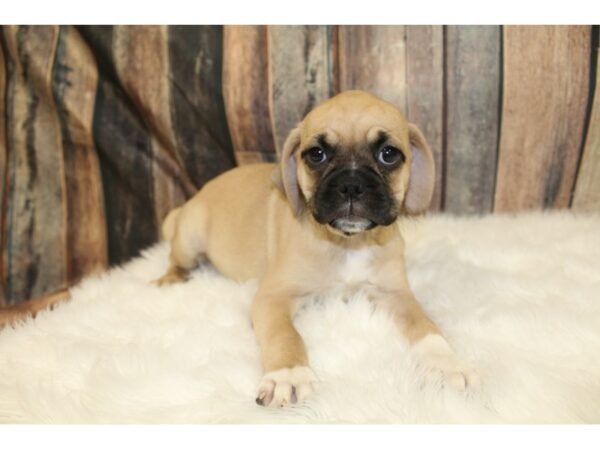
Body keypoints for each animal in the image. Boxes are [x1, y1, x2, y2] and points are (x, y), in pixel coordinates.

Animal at [157, 89, 480, 406]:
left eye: (388, 154)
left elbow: (427, 327)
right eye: (316, 154)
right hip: (190, 236)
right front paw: (288, 374)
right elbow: (284, 334)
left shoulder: (396, 294)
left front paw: (445, 364)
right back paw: (170, 280)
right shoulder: (273, 298)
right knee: (176, 259)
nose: (351, 185)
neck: (348, 242)